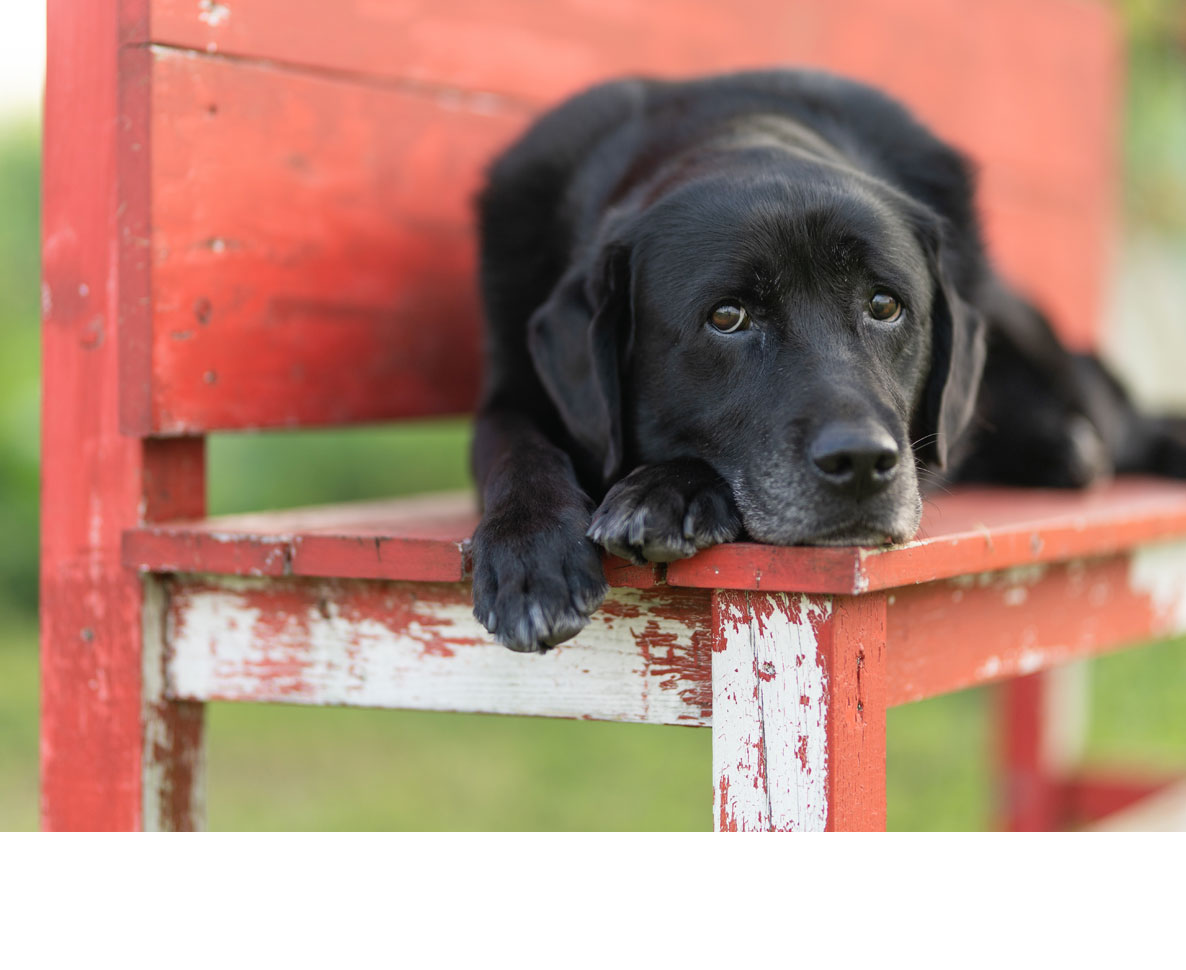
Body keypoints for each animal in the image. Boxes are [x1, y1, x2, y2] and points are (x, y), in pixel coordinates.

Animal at [467, 69, 1181, 649]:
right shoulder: (512, 391)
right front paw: (531, 556)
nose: (861, 462)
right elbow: (515, 450)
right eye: (726, 317)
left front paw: (668, 490)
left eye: (885, 304)